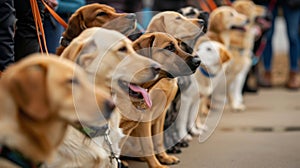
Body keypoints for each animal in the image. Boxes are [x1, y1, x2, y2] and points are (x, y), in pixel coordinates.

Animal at [120, 31, 202, 168]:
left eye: (179, 45)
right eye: (169, 47)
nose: (198, 61)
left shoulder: (160, 114)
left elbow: (158, 140)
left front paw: (164, 157)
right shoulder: (145, 119)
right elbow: (148, 145)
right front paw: (156, 165)